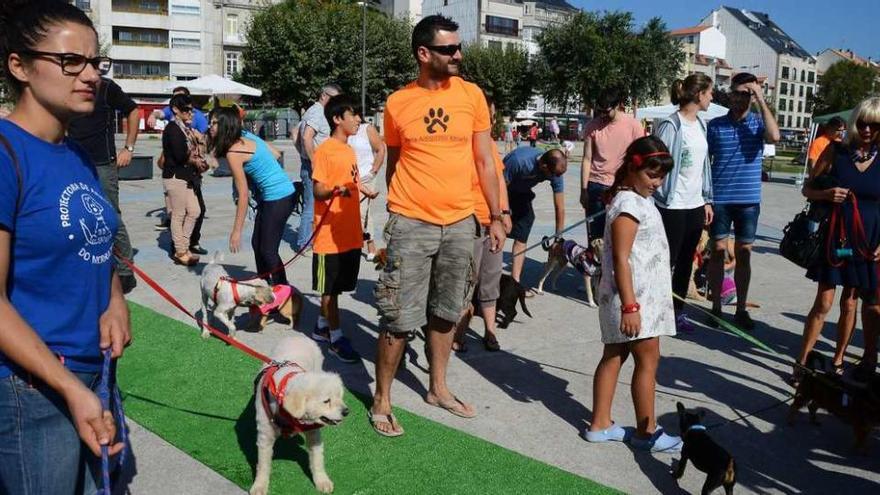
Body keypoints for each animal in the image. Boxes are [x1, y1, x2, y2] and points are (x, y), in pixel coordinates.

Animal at [249, 336, 348, 494]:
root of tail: (300, 336)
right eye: (326, 401)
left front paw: (322, 480)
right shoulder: (265, 435)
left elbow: (318, 460)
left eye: (340, 397)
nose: (346, 411)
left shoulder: (314, 433)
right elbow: (263, 465)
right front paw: (259, 486)